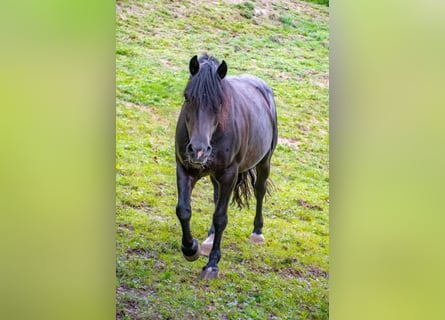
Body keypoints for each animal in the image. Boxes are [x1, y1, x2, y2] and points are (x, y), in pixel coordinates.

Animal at [174, 53, 276, 278]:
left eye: (219, 103)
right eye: (187, 97)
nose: (198, 150)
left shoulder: (229, 174)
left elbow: (221, 217)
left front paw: (212, 264)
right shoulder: (184, 168)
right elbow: (183, 210)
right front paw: (190, 249)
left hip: (264, 161)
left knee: (259, 190)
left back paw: (257, 232)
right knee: (216, 196)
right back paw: (209, 239)